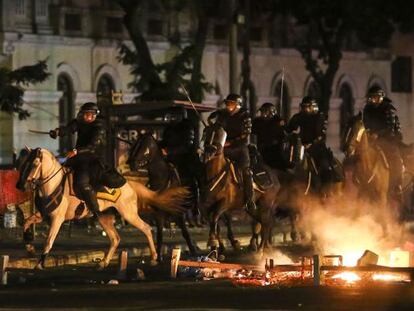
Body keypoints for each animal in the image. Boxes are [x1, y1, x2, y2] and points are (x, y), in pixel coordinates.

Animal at [16, 147, 188, 270]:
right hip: (103, 216)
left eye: (34, 164)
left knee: (146, 228)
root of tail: (131, 185)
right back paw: (103, 262)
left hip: (129, 214)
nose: (19, 185)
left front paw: (39, 264)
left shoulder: (57, 219)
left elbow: (48, 241)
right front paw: (29, 246)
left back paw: (153, 258)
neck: (54, 185)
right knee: (115, 238)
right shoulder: (43, 215)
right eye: (22, 163)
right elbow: (26, 221)